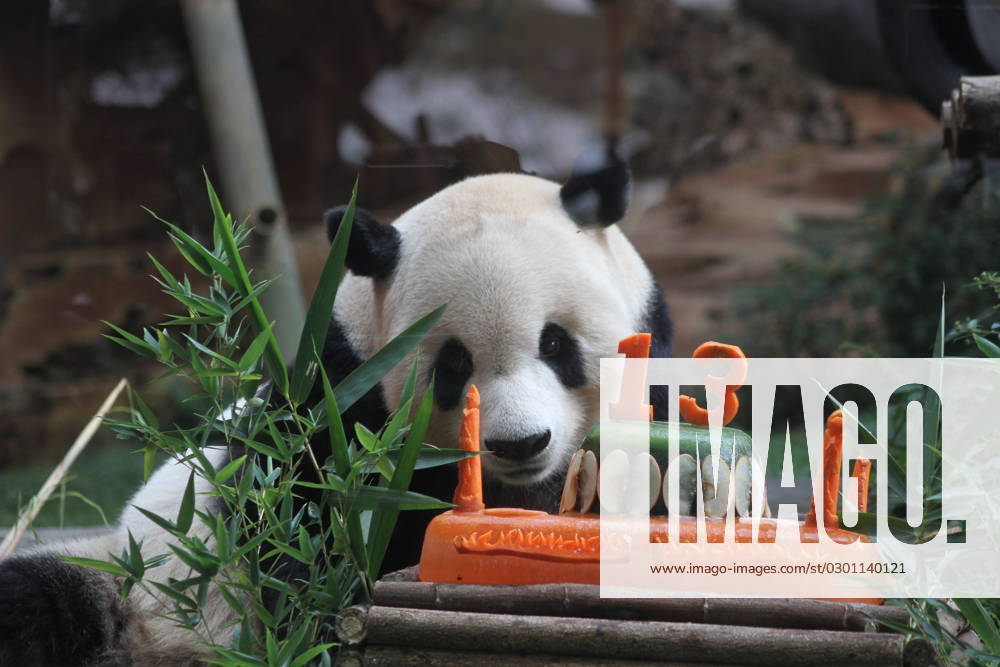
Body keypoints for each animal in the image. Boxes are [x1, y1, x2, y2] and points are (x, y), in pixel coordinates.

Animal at [0, 148, 672, 665]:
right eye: (454, 365)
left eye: (554, 343)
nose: (521, 443)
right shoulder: (334, 411)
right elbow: (298, 536)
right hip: (130, 579)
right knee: (39, 602)